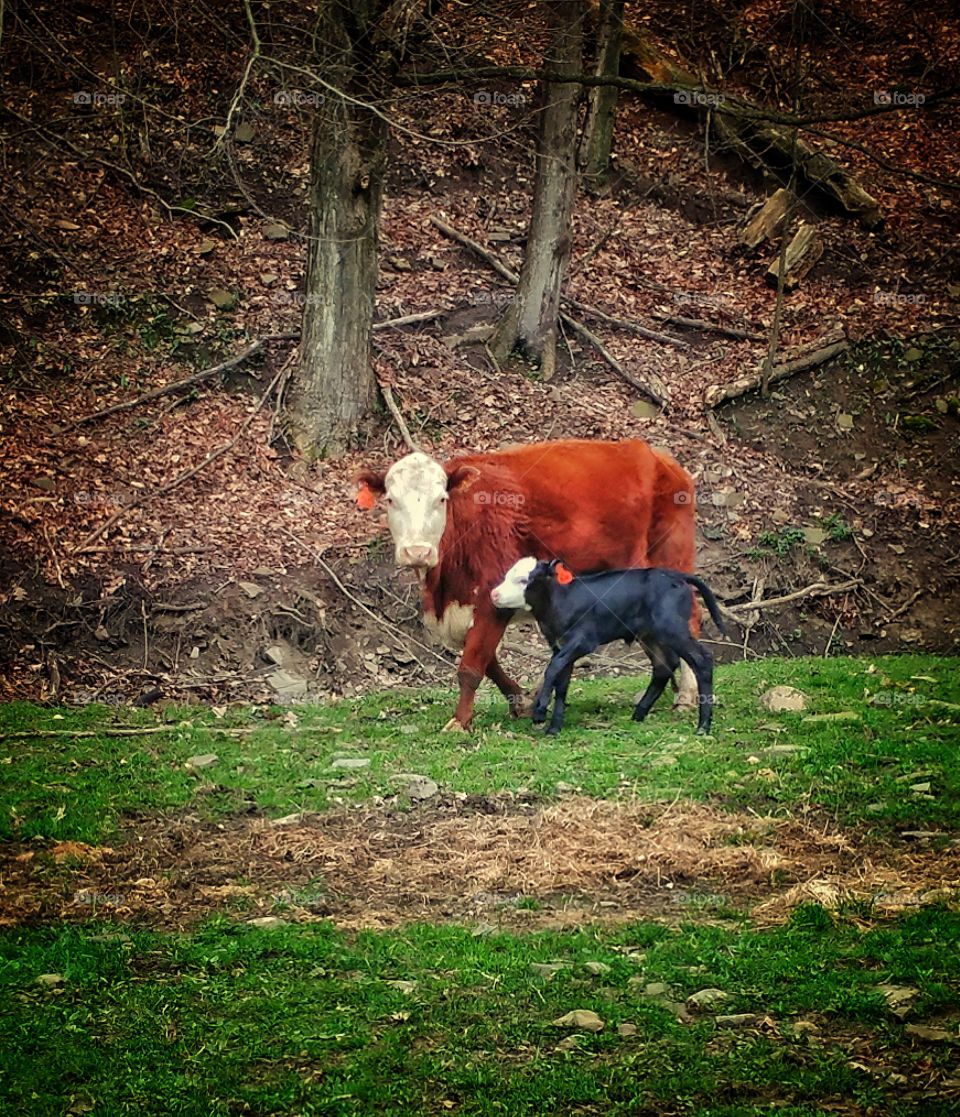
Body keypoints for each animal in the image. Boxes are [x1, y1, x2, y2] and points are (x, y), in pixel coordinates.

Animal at [356, 439, 697, 730]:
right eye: (391, 500)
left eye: (441, 499)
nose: (418, 551)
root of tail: (660, 457)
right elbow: (487, 659)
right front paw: (520, 701)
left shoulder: (492, 598)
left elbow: (471, 665)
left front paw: (460, 722)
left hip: (672, 559)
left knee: (691, 621)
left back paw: (687, 696)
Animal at [491, 558, 724, 735]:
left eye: (524, 580)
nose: (494, 594)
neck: (560, 601)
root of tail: (676, 575)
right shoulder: (561, 645)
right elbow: (562, 681)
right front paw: (554, 728)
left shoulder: (583, 640)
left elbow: (553, 668)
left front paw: (539, 711)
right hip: (649, 635)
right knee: (663, 666)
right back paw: (638, 715)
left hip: (672, 628)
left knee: (702, 659)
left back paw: (703, 726)